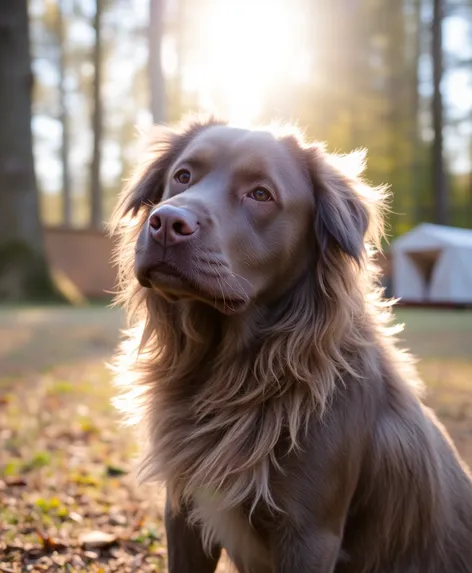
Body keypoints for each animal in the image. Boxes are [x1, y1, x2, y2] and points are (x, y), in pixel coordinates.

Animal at [110, 117, 472, 572]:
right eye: (183, 176)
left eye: (261, 194)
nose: (166, 222)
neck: (227, 373)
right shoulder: (182, 507)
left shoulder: (310, 533)